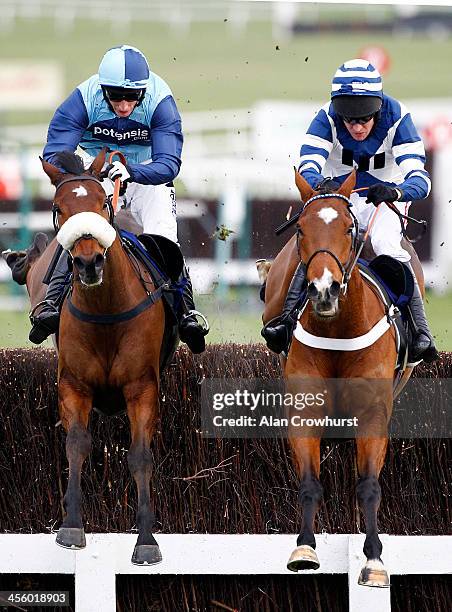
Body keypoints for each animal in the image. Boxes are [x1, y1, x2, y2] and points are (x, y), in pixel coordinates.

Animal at [5, 148, 175, 564]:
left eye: (101, 203)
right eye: (58, 207)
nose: (88, 262)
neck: (106, 309)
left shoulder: (142, 387)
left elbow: (140, 455)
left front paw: (146, 540)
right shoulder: (73, 384)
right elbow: (77, 444)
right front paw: (70, 526)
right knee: (34, 264)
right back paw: (20, 257)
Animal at [262, 169, 420, 588]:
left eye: (349, 229)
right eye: (301, 229)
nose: (323, 290)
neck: (338, 329)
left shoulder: (373, 415)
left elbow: (368, 486)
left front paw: (374, 560)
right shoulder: (304, 411)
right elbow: (308, 482)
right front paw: (304, 548)